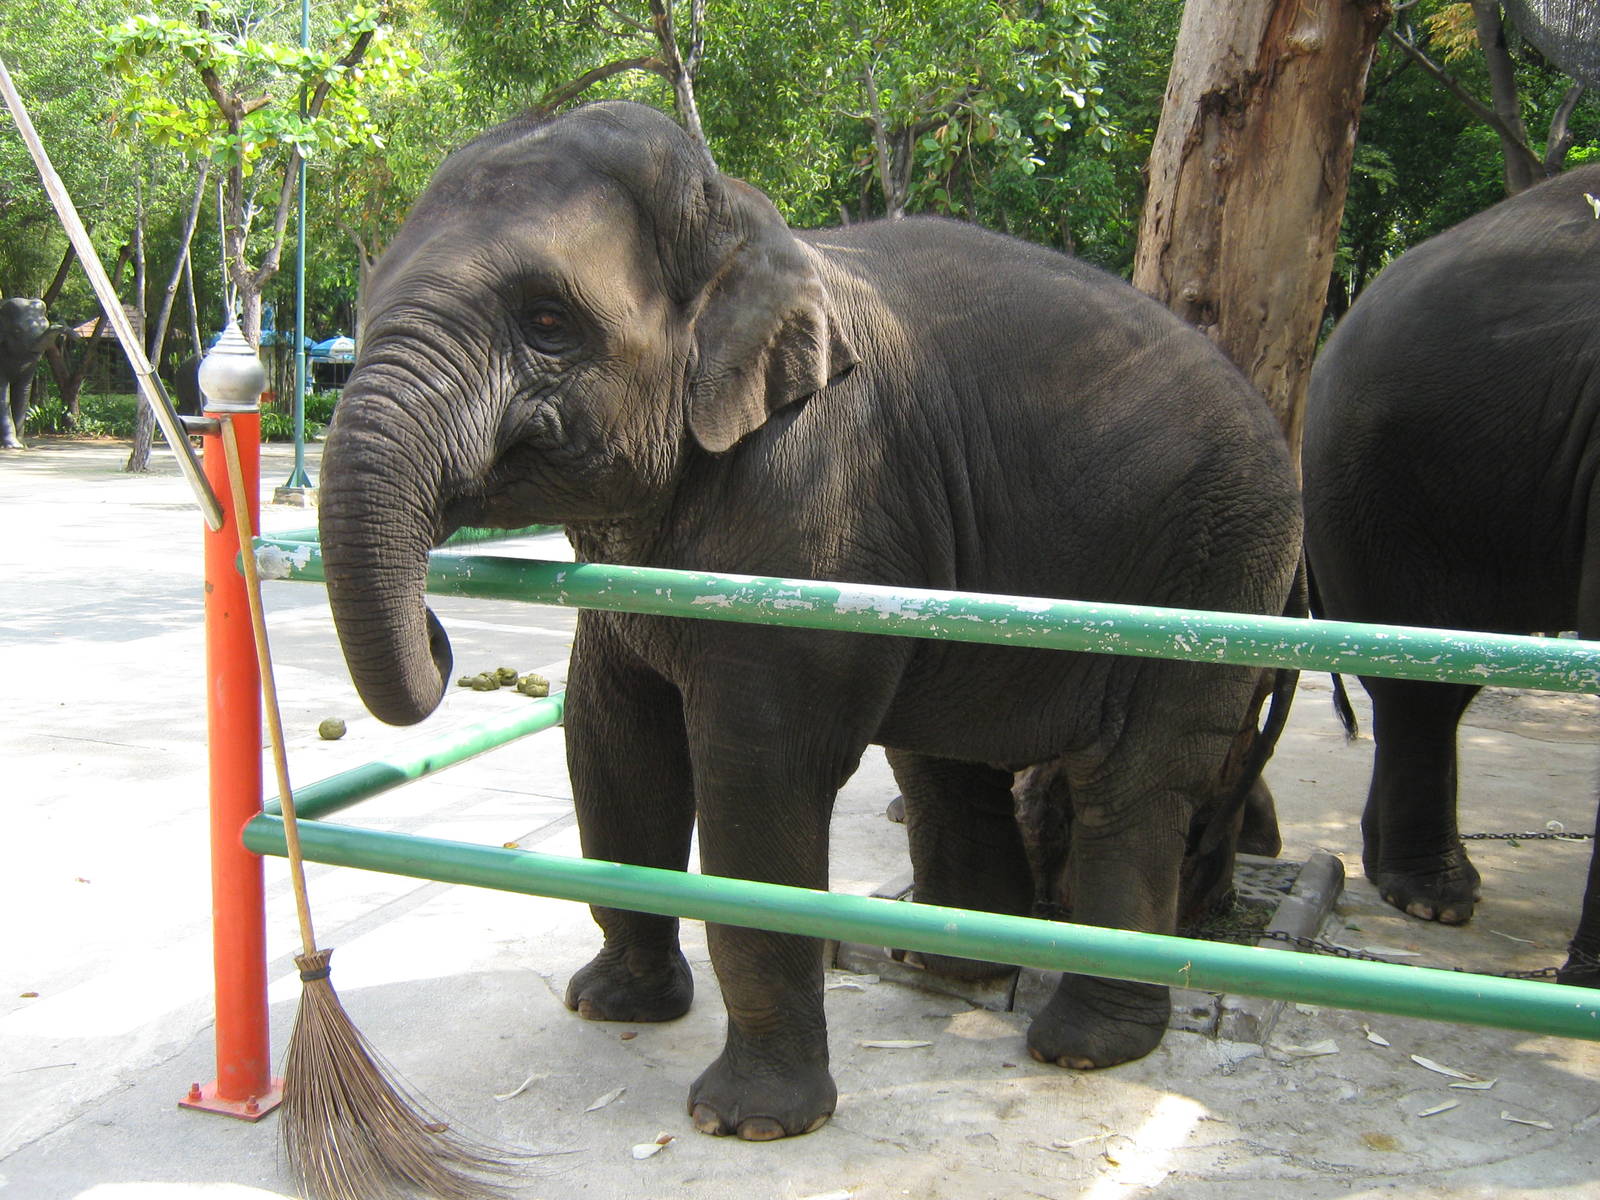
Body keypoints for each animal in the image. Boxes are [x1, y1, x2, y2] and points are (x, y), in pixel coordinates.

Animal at [0, 297, 68, 450]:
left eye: (45, 325)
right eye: (17, 330)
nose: (61, 326)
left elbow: (23, 393)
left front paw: (22, 445)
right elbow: (3, 396)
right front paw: (14, 447)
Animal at [316, 100, 1303, 1139]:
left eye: (547, 321)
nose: (439, 635)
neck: (746, 225)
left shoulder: (819, 498)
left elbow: (757, 774)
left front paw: (747, 1123)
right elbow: (612, 740)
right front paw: (612, 1005)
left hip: (1221, 563)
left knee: (1134, 779)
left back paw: (1083, 1046)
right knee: (945, 761)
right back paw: (950, 967)